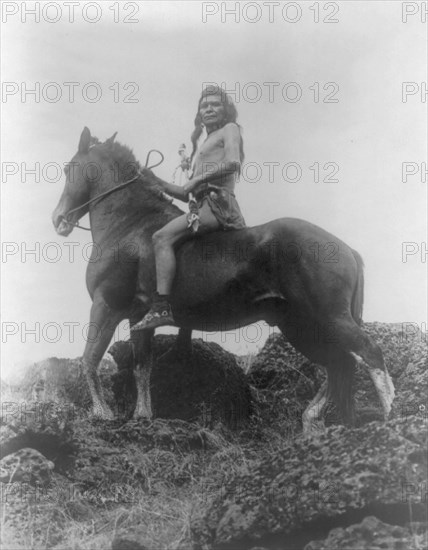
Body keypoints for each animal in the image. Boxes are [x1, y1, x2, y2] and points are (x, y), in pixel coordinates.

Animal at [52, 128, 394, 432]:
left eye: (69, 168)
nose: (58, 219)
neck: (130, 225)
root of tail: (346, 248)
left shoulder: (105, 305)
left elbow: (89, 359)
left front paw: (102, 413)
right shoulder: (138, 318)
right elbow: (141, 366)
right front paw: (142, 416)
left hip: (329, 318)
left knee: (368, 353)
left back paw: (390, 417)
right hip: (299, 326)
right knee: (339, 364)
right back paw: (313, 420)